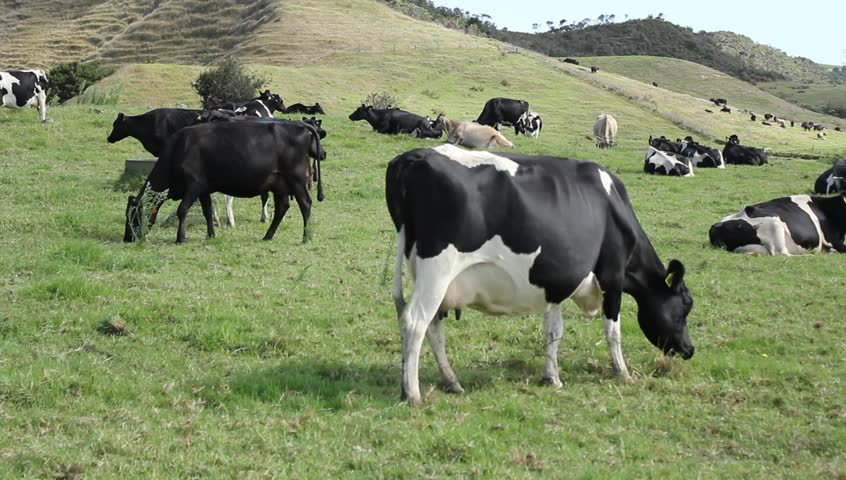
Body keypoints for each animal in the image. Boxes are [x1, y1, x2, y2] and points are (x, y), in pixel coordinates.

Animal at [124, 118, 326, 246]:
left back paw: (306, 237)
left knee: (305, 204)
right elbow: (207, 212)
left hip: (296, 179)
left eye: (133, 215)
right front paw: (210, 235)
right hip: (279, 184)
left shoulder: (194, 184)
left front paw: (180, 239)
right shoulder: (204, 189)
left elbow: (182, 210)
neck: (179, 148)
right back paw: (267, 236)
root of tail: (300, 125)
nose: (128, 238)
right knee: (282, 207)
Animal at [390, 144, 696, 404]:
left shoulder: (556, 284)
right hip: (438, 268)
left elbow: (553, 331)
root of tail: (415, 156)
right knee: (415, 321)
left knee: (432, 325)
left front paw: (552, 377)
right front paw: (622, 372)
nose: (689, 350)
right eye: (684, 308)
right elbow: (613, 330)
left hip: (428, 273)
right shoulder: (613, 276)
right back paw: (412, 393)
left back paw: (451, 381)